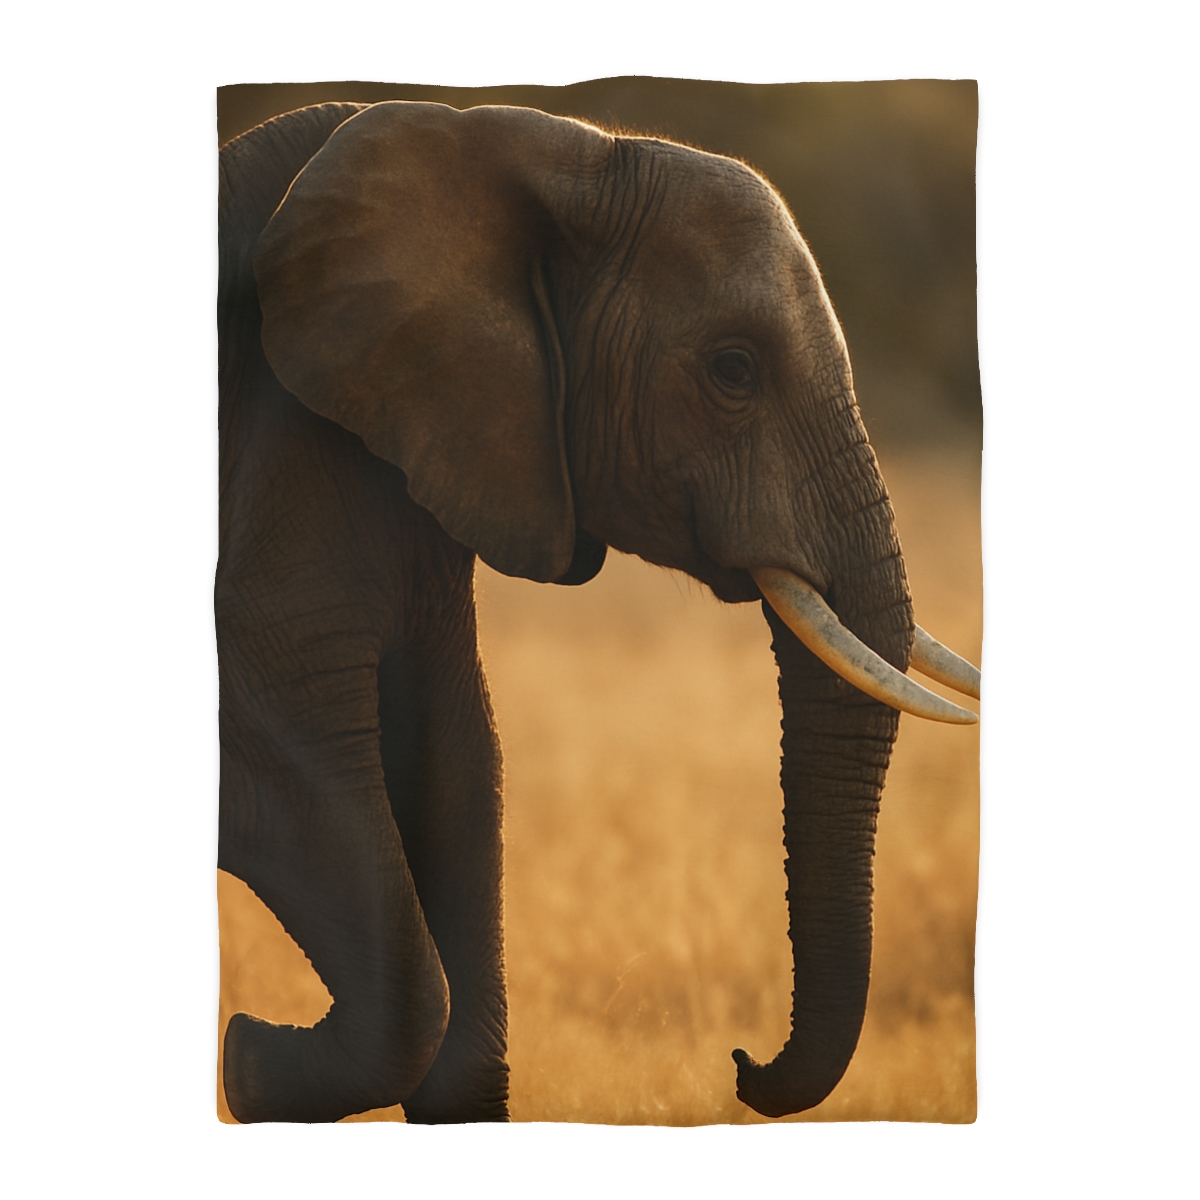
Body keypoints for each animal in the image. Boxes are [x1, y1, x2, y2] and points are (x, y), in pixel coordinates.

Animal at [216, 99, 980, 1124]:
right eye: (732, 370)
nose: (740, 1062)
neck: (531, 146)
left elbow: (459, 762)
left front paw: (257, 1061)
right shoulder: (279, 454)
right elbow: (281, 772)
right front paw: (252, 1060)